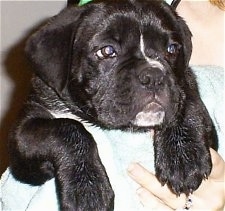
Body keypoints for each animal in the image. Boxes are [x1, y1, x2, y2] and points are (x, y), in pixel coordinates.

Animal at [9, 0, 218, 210]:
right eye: (107, 51)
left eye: (172, 49)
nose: (154, 76)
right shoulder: (23, 135)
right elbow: (67, 128)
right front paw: (88, 189)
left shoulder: (184, 86)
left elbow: (186, 97)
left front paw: (184, 155)